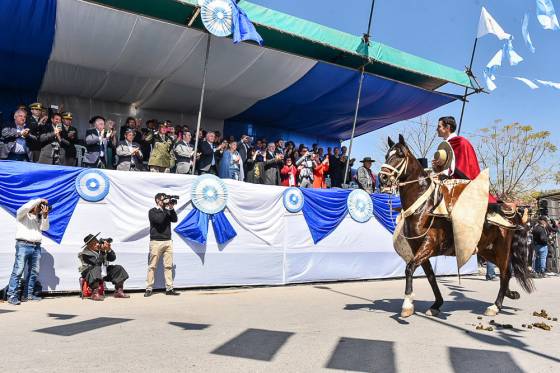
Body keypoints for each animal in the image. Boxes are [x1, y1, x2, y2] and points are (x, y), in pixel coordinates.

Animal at [378, 135, 532, 316]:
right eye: (387, 155)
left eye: (400, 155)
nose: (382, 177)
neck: (424, 207)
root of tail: (512, 212)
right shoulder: (418, 249)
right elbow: (430, 276)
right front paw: (436, 304)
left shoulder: (429, 245)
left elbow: (409, 268)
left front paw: (407, 305)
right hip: (486, 249)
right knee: (504, 272)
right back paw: (509, 294)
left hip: (502, 248)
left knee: (506, 273)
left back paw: (495, 306)